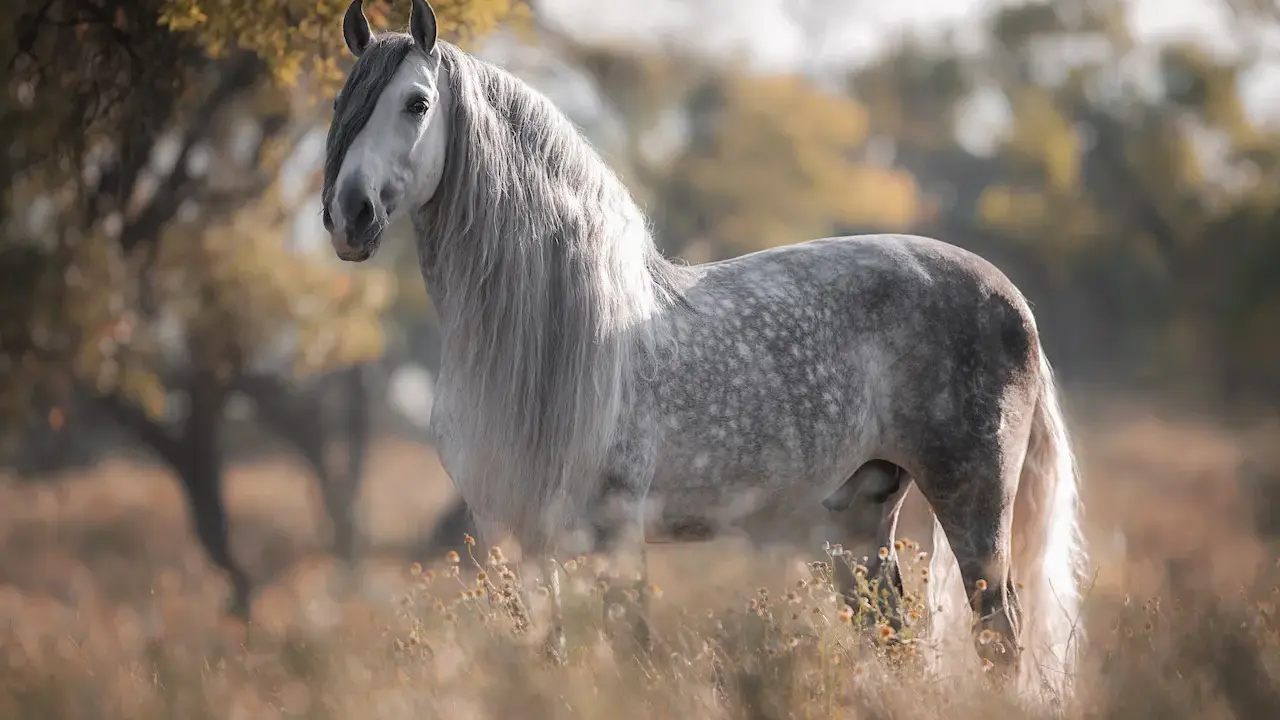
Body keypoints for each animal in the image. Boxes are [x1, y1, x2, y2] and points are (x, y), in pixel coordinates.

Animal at [322, 0, 1088, 702]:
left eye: (417, 103)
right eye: (342, 104)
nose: (348, 217)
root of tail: (1010, 298)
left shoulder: (614, 534)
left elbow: (629, 654)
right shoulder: (516, 537)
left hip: (972, 506)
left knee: (1001, 637)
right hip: (858, 519)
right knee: (895, 635)